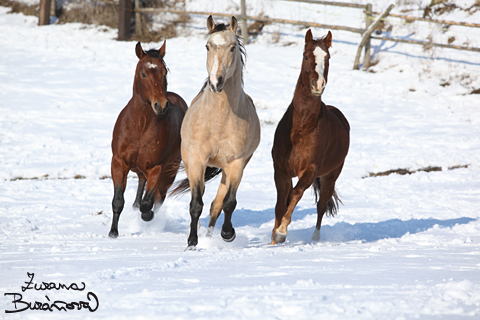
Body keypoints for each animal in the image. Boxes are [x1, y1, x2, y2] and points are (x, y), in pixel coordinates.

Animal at [109, 42, 188, 238]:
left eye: (165, 72)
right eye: (143, 73)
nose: (161, 105)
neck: (141, 126)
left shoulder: (157, 168)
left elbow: (148, 204)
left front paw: (147, 215)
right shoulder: (118, 162)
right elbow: (118, 201)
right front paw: (113, 232)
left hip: (169, 171)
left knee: (158, 198)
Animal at [272, 30, 350, 245]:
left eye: (328, 57)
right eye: (306, 56)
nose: (318, 84)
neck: (301, 129)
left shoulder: (310, 169)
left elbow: (296, 194)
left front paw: (281, 232)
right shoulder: (281, 170)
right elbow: (280, 204)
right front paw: (272, 240)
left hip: (330, 176)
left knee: (321, 205)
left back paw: (315, 238)